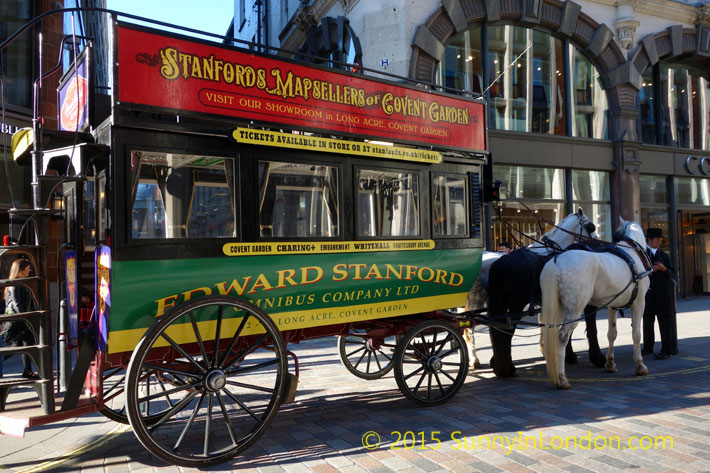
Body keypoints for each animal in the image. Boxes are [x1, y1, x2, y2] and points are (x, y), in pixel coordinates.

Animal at [464, 209, 596, 368]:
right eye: (591, 227)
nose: (596, 241)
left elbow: (544, 323)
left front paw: (545, 349)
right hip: (477, 301)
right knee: (469, 327)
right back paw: (475, 360)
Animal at [544, 218, 652, 388]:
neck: (632, 253)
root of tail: (557, 260)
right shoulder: (639, 303)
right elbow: (636, 334)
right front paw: (640, 365)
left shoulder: (613, 305)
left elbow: (612, 334)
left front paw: (610, 363)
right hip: (574, 310)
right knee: (562, 337)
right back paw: (561, 378)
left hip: (560, 308)